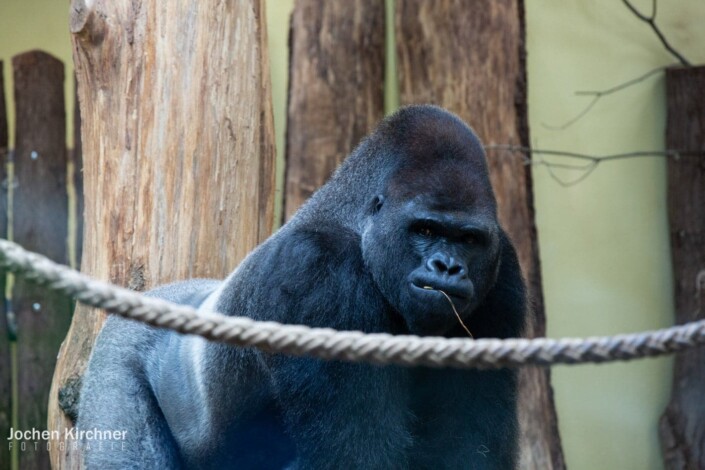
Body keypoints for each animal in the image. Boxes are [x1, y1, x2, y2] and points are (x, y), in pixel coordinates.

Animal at [80, 104, 524, 468]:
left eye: (469, 239)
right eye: (426, 229)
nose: (447, 267)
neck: (357, 225)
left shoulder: (503, 278)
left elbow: (467, 444)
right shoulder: (321, 273)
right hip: (115, 356)